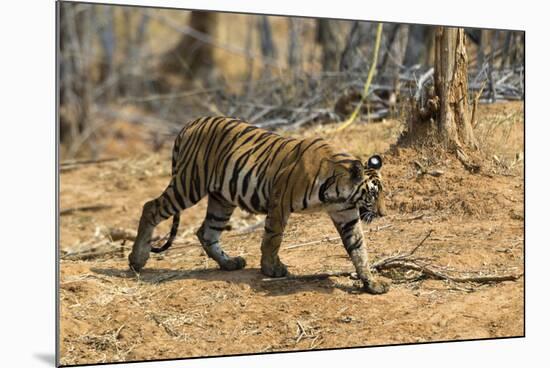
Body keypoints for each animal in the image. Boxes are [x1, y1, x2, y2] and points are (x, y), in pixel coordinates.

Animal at [128, 116, 392, 294]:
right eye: (372, 194)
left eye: (381, 194)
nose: (382, 213)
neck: (338, 193)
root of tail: (190, 123)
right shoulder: (279, 202)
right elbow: (273, 239)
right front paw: (271, 270)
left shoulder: (346, 214)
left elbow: (358, 249)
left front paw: (372, 283)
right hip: (189, 184)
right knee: (150, 207)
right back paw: (137, 259)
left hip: (221, 199)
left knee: (206, 231)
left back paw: (229, 263)